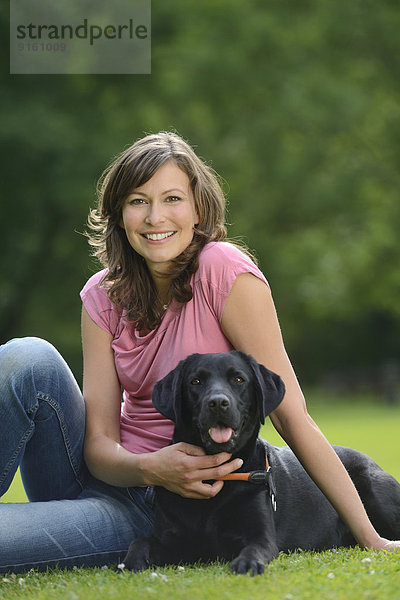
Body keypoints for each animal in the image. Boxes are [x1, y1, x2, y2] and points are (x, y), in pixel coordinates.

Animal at [122, 352, 400, 576]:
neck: (217, 480)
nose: (218, 403)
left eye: (238, 380)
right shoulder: (172, 539)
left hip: (373, 488)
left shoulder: (261, 536)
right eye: (195, 381)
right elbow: (139, 542)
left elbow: (254, 549)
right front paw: (131, 562)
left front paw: (247, 564)